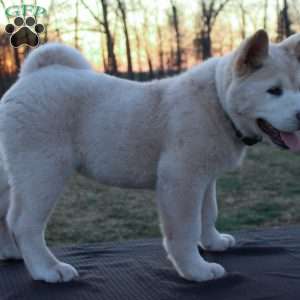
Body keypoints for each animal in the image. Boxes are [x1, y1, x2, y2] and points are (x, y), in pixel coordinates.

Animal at [0, 30, 300, 284]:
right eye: (274, 91)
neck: (218, 102)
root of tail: (32, 76)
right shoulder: (181, 180)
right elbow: (186, 229)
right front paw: (196, 270)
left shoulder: (204, 179)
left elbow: (208, 213)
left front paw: (213, 242)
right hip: (43, 171)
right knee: (24, 224)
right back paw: (47, 269)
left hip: (14, 175)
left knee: (5, 216)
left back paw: (12, 253)